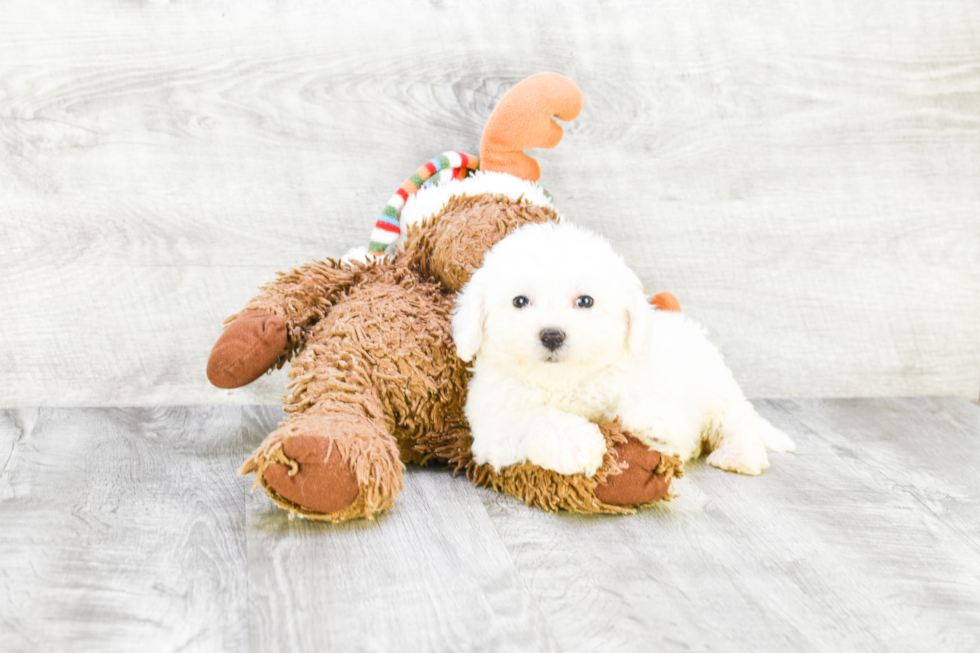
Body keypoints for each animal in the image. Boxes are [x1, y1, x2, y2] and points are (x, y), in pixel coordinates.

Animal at [452, 222, 796, 476]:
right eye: (519, 301)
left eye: (585, 301)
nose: (552, 335)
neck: (563, 381)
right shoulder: (494, 425)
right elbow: (535, 419)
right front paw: (577, 444)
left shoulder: (629, 379)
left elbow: (638, 400)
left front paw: (656, 423)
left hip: (719, 389)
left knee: (739, 421)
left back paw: (739, 455)